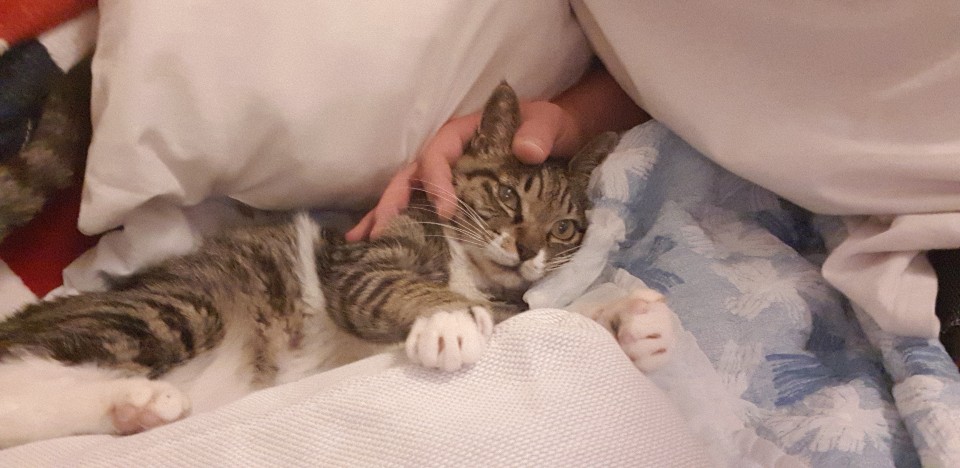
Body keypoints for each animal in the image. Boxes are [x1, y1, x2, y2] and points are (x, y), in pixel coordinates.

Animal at [0, 82, 675, 448]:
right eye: (509, 195)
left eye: (564, 228)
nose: (530, 249)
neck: (471, 268)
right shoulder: (359, 260)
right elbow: (396, 285)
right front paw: (450, 320)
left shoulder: (510, 299)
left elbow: (535, 315)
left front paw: (631, 319)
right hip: (174, 309)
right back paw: (137, 399)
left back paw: (135, 411)